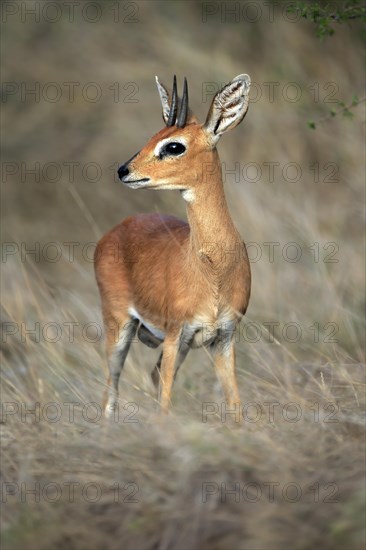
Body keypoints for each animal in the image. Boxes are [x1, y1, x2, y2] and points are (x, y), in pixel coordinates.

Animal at [95, 74, 252, 418]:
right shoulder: (175, 333)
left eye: (174, 145)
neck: (213, 272)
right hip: (120, 325)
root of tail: (115, 230)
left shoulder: (224, 338)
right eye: (153, 136)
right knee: (110, 391)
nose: (124, 170)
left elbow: (235, 404)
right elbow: (165, 407)